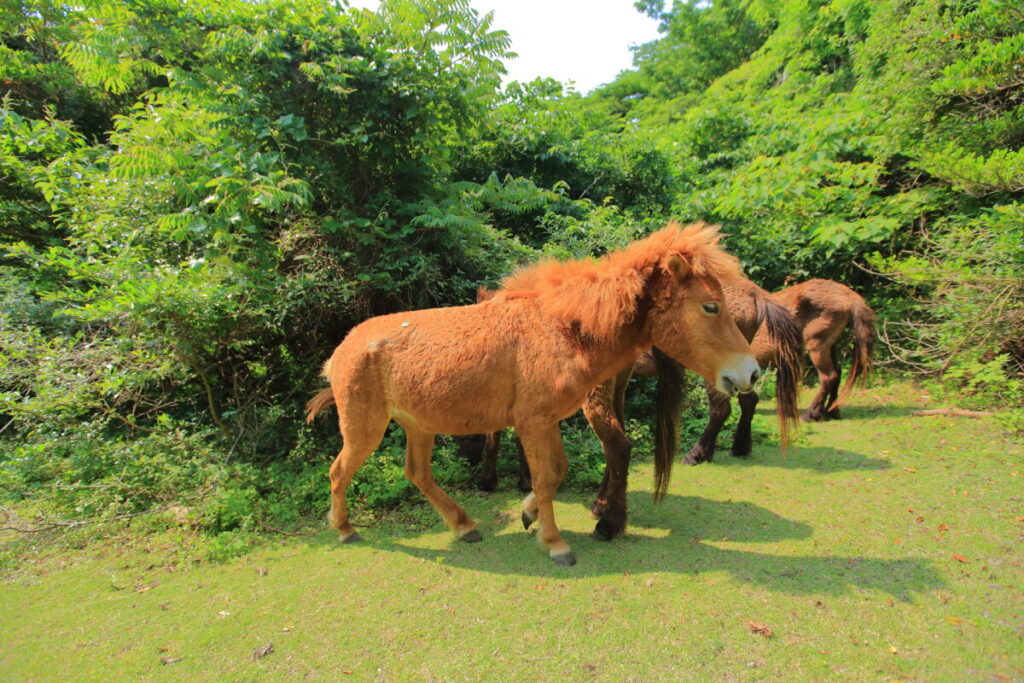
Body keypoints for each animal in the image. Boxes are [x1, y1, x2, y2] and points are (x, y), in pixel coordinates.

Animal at [305, 222, 760, 566]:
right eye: (709, 306)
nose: (751, 372)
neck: (564, 329)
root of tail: (343, 348)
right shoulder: (534, 422)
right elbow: (545, 477)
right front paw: (556, 543)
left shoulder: (544, 421)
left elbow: (556, 473)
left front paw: (531, 516)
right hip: (366, 427)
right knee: (339, 471)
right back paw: (346, 530)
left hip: (418, 425)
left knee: (417, 473)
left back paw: (464, 526)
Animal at [761, 278, 875, 422]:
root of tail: (849, 295)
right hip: (829, 347)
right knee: (837, 373)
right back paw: (831, 412)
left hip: (817, 348)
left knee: (828, 377)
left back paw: (812, 414)